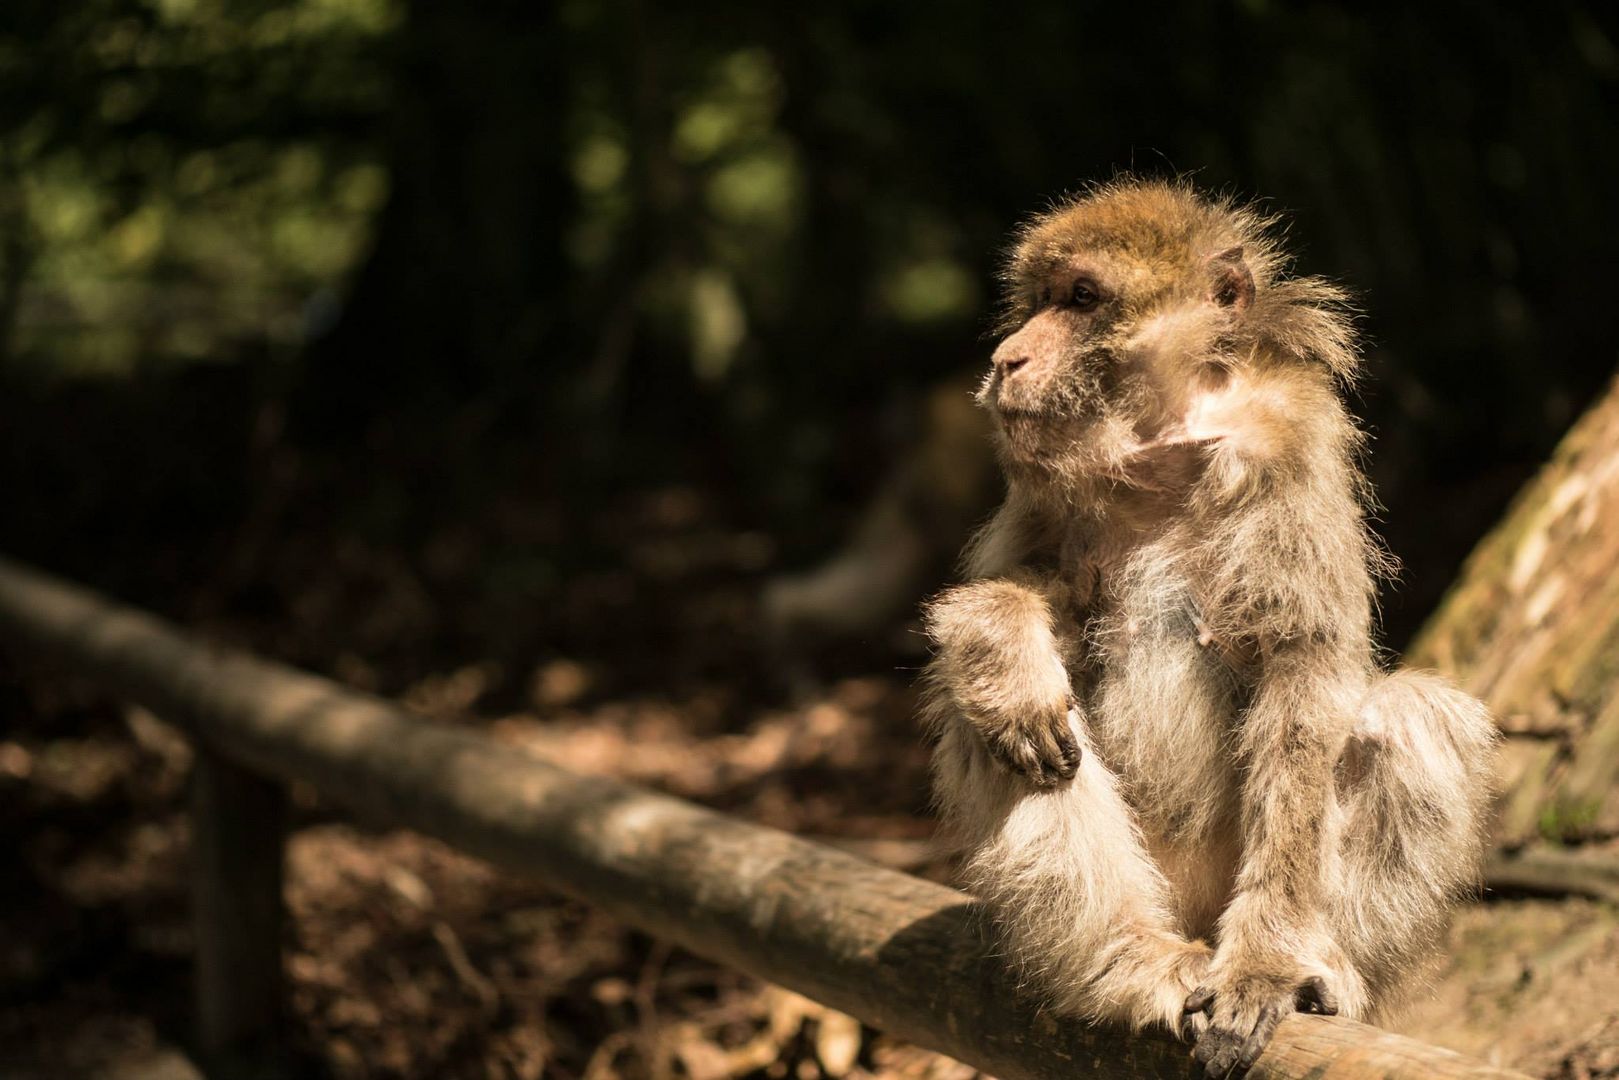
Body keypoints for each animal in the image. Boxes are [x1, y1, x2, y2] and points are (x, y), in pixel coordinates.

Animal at [919, 177, 1495, 1075]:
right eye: (1041, 298)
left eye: (1080, 299)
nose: (1008, 357)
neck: (1161, 447)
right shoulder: (1042, 487)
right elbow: (1028, 603)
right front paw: (1004, 645)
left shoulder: (1288, 444)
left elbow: (1300, 679)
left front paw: (1267, 965)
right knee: (995, 730)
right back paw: (1130, 963)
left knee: (1412, 717)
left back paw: (1325, 973)